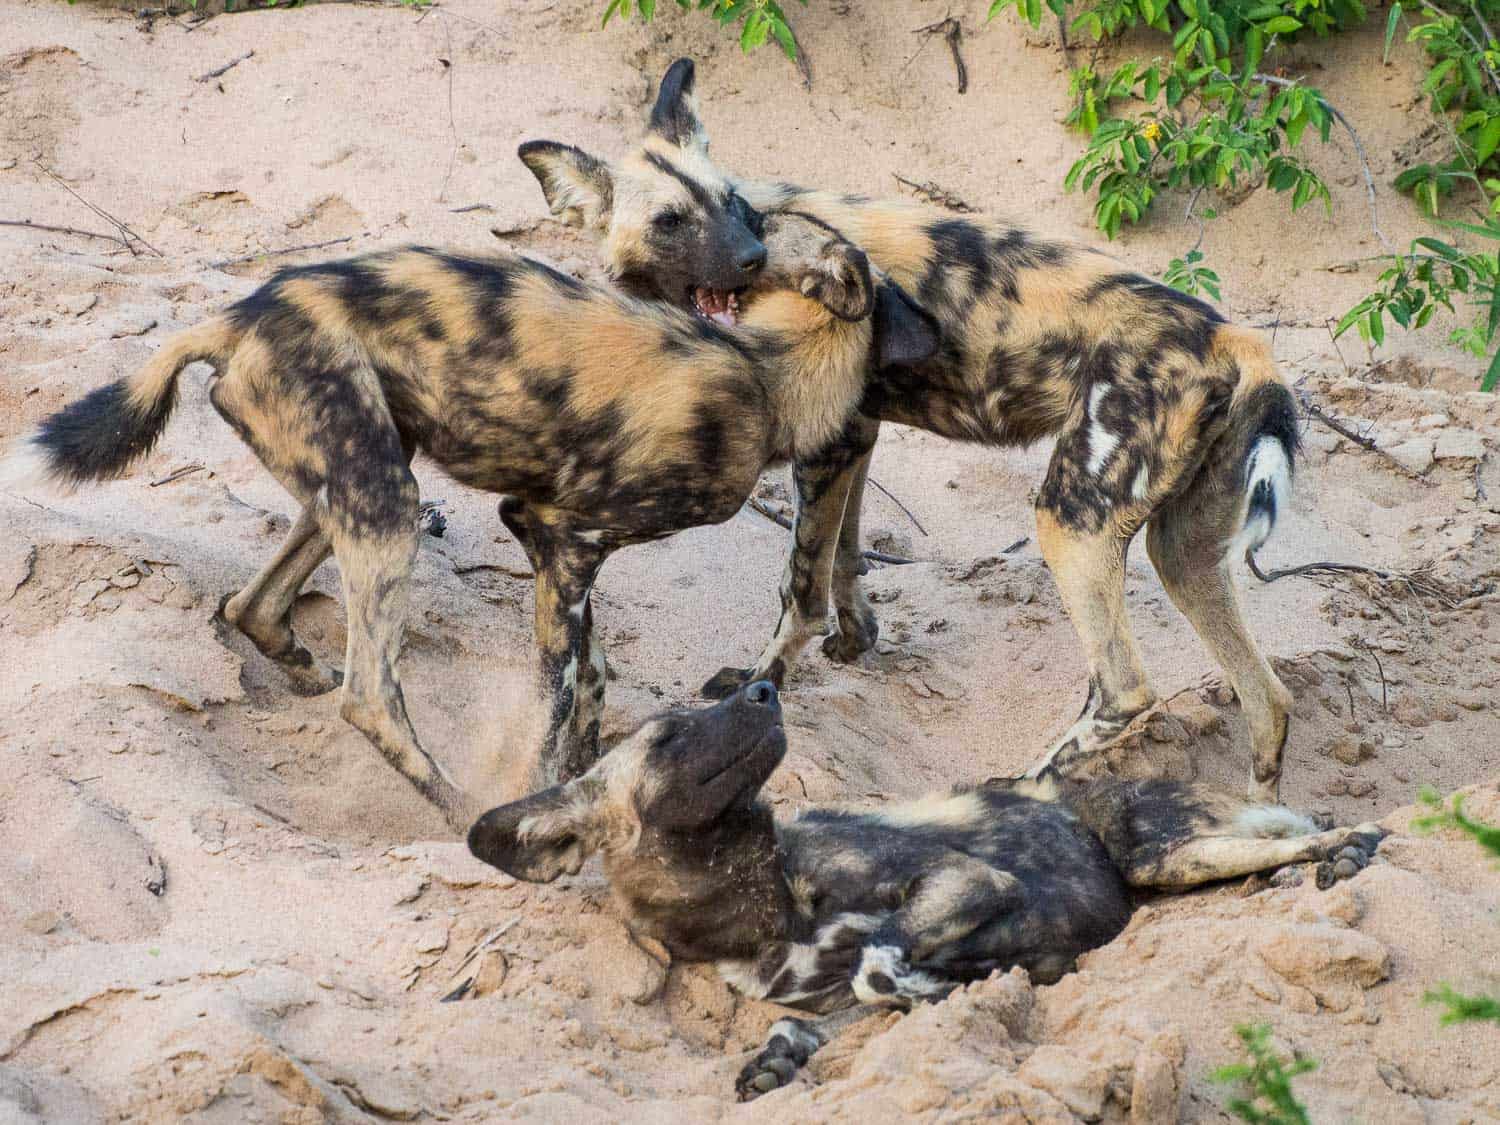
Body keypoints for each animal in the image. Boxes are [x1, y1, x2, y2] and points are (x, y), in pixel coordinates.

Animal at [2, 213, 936, 828]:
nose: (737, 244)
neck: (766, 369)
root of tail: (239, 313)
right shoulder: (560, 533)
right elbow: (560, 693)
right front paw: (538, 793)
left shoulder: (549, 542)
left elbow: (589, 676)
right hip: (388, 504)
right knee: (370, 697)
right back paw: (452, 806)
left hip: (367, 471)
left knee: (255, 605)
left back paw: (299, 667)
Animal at [465, 684, 1380, 1104]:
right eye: (666, 735)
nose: (762, 688)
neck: (752, 903)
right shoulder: (816, 994)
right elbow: (813, 1017)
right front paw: (779, 1056)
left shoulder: (967, 880)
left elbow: (880, 965)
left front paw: (949, 983)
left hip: (1162, 852)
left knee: (1302, 832)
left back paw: (1343, 849)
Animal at [522, 59, 1308, 804]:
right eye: (670, 220)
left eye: (728, 205)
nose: (749, 257)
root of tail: (1235, 339)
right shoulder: (855, 433)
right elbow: (845, 556)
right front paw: (854, 639)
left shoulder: (825, 444)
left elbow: (799, 588)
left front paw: (759, 685)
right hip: (1185, 552)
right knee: (1268, 699)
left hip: (1071, 519)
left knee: (1124, 688)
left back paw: (1021, 784)